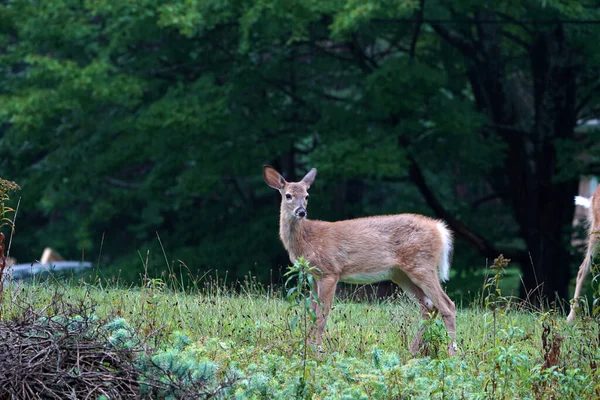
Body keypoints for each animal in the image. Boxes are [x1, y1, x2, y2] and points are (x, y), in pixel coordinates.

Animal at [264, 166, 458, 356]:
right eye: (288, 195)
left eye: (306, 196)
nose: (301, 212)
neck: (306, 241)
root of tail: (440, 229)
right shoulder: (313, 277)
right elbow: (311, 312)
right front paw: (305, 348)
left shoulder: (330, 272)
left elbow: (322, 314)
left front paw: (317, 352)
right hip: (401, 274)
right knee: (429, 306)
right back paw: (413, 351)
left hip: (422, 265)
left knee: (447, 305)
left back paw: (452, 354)